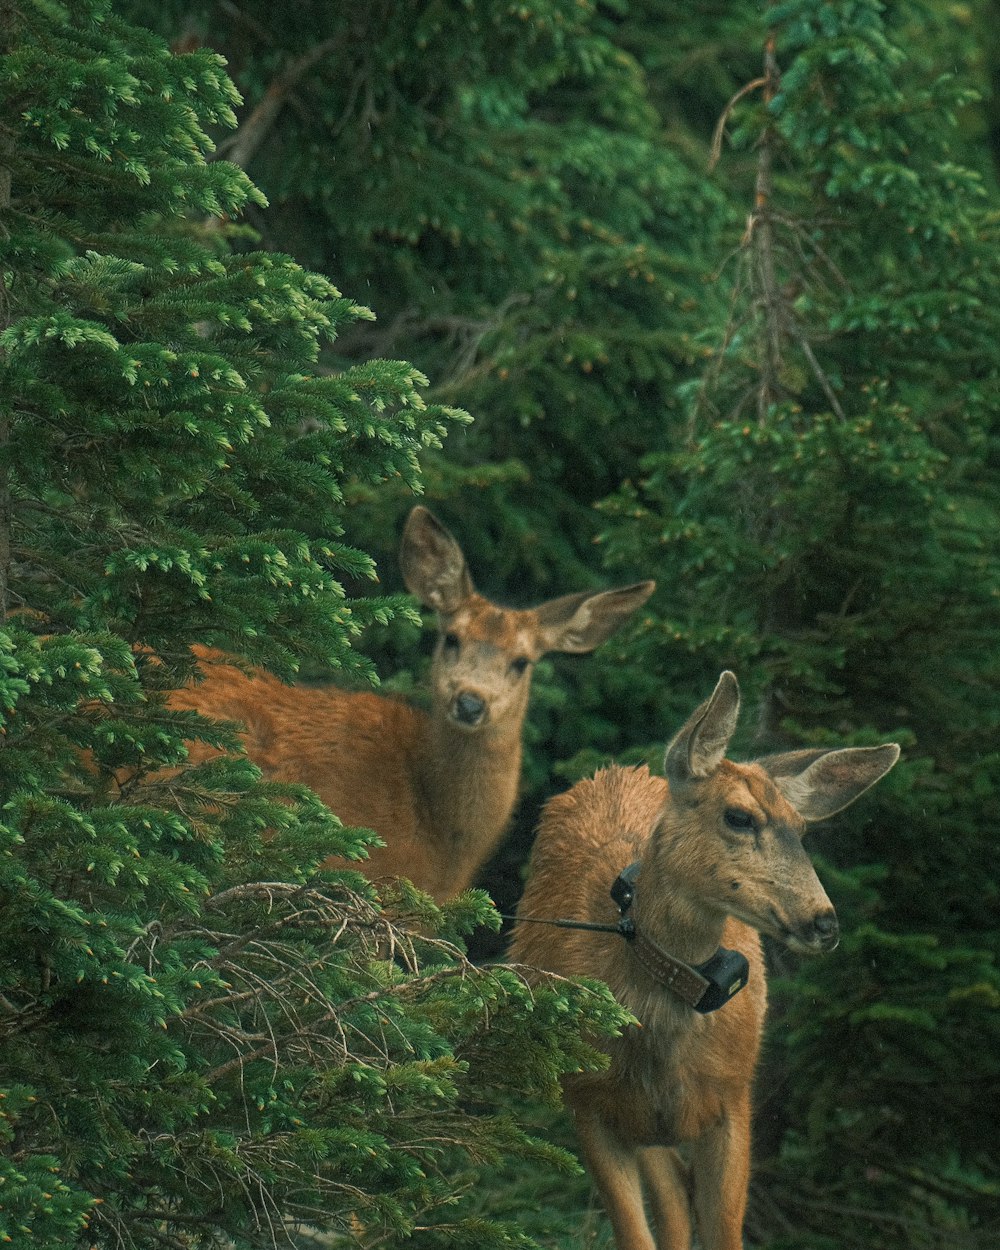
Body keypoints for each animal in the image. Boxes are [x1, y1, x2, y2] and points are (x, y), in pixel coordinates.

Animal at [507, 675, 900, 1250]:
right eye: (738, 816)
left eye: (801, 828)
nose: (824, 922)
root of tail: (618, 770)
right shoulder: (587, 1100)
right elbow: (637, 1234)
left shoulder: (734, 1097)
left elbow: (723, 1233)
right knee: (671, 1203)